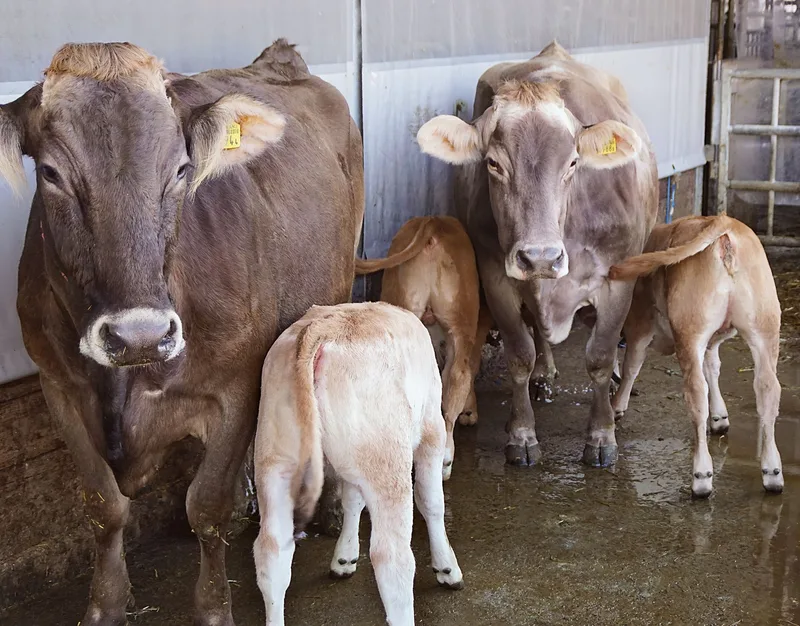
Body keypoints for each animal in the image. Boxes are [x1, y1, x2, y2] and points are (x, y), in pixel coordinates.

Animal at [0, 40, 364, 625]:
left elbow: (206, 506)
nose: (139, 336)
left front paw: (213, 608)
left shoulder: (236, 383)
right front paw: (105, 605)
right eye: (52, 173)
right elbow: (104, 506)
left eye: (180, 170)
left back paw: (328, 512)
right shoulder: (57, 386)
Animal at [253, 302, 464, 626]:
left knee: (271, 552)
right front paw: (447, 567)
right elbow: (431, 502)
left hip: (275, 460)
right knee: (392, 559)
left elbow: (352, 500)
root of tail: (324, 329)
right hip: (386, 460)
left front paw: (344, 557)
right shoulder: (432, 430)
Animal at [415, 41, 659, 468]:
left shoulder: (618, 281)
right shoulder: (496, 277)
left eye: (573, 163)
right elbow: (519, 355)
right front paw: (522, 435)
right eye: (493, 163)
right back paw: (545, 374)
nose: (540, 256)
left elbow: (599, 356)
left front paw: (601, 436)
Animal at [609, 215, 783, 498]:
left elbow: (632, 366)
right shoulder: (711, 342)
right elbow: (712, 367)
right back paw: (772, 473)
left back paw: (701, 476)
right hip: (765, 327)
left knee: (696, 392)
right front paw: (720, 418)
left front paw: (617, 407)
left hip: (689, 330)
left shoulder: (639, 325)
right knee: (768, 389)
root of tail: (725, 226)